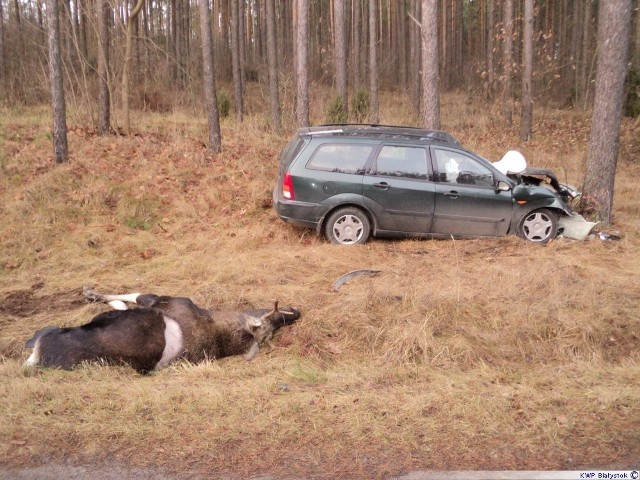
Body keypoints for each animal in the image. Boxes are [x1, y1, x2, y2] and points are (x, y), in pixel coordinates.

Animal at [24, 286, 300, 374]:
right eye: (275, 318)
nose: (297, 312)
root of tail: (41, 356)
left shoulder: (159, 300)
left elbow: (128, 297)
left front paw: (92, 293)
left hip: (50, 337)